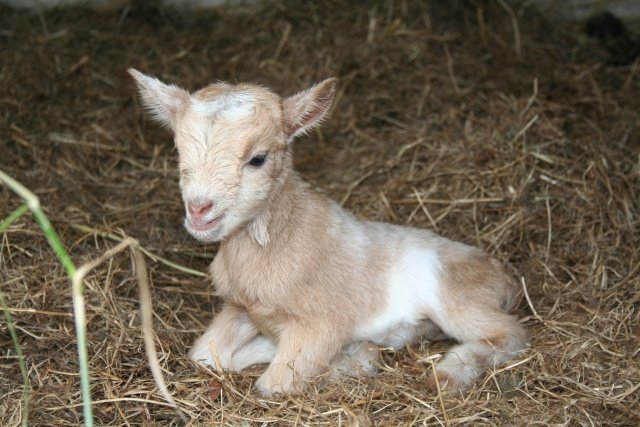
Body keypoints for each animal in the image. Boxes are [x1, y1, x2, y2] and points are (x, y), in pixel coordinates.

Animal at [129, 69, 528, 397]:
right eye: (178, 150)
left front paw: (350, 364)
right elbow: (203, 355)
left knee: (510, 334)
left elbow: (274, 385)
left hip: (456, 297)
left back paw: (444, 373)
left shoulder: (322, 323)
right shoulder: (241, 308)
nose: (199, 210)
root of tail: (505, 277)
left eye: (258, 158)